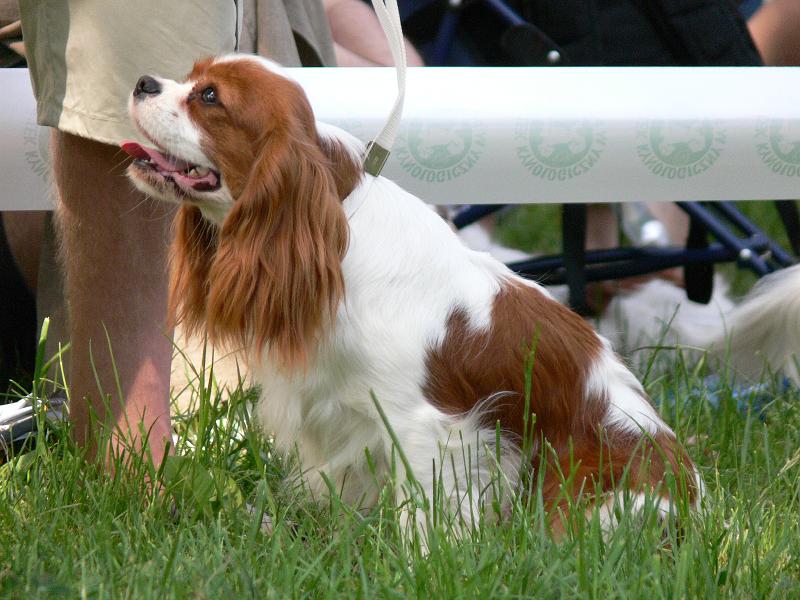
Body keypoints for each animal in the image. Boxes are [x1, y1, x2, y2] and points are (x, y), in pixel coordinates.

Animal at [122, 55, 700, 537]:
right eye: (191, 75)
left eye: (210, 96)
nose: (142, 81)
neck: (333, 227)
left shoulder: (426, 426)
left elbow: (423, 515)